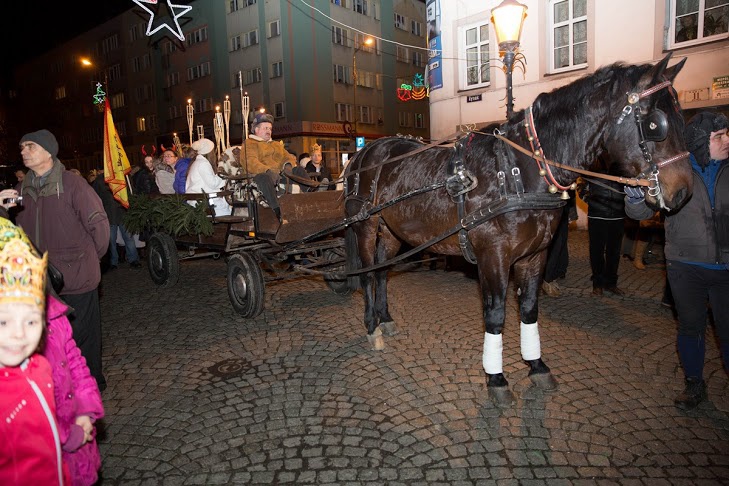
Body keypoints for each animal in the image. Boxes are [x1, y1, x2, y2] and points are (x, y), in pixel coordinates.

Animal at [344, 52, 692, 406]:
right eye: (656, 125)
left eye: (682, 120)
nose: (683, 192)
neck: (520, 171)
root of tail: (364, 152)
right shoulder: (493, 256)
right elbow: (496, 314)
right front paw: (496, 378)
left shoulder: (535, 255)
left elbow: (528, 309)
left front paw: (536, 365)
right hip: (365, 226)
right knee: (368, 274)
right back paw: (372, 325)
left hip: (393, 231)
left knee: (382, 271)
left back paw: (385, 319)